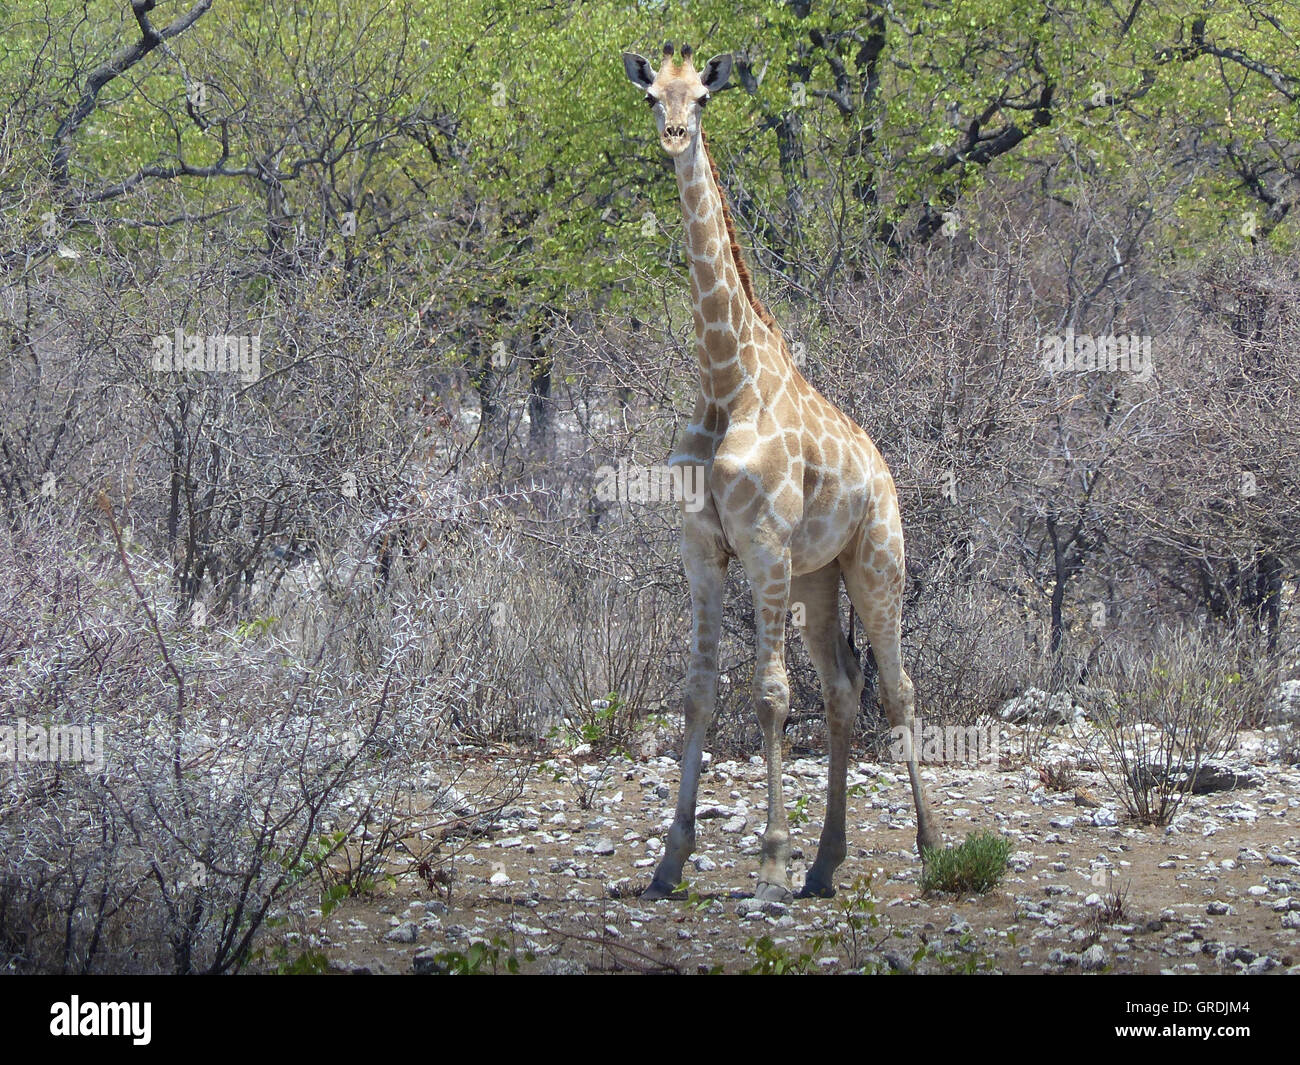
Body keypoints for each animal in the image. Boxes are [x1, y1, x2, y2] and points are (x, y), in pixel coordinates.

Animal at [624, 45, 941, 905]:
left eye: (701, 98)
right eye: (651, 95)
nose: (672, 136)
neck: (725, 378)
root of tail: (885, 469)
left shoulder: (762, 543)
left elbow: (769, 695)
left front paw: (768, 857)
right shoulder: (704, 548)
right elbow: (699, 691)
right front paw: (670, 859)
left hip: (877, 561)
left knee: (899, 686)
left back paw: (934, 849)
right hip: (816, 579)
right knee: (843, 690)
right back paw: (827, 862)